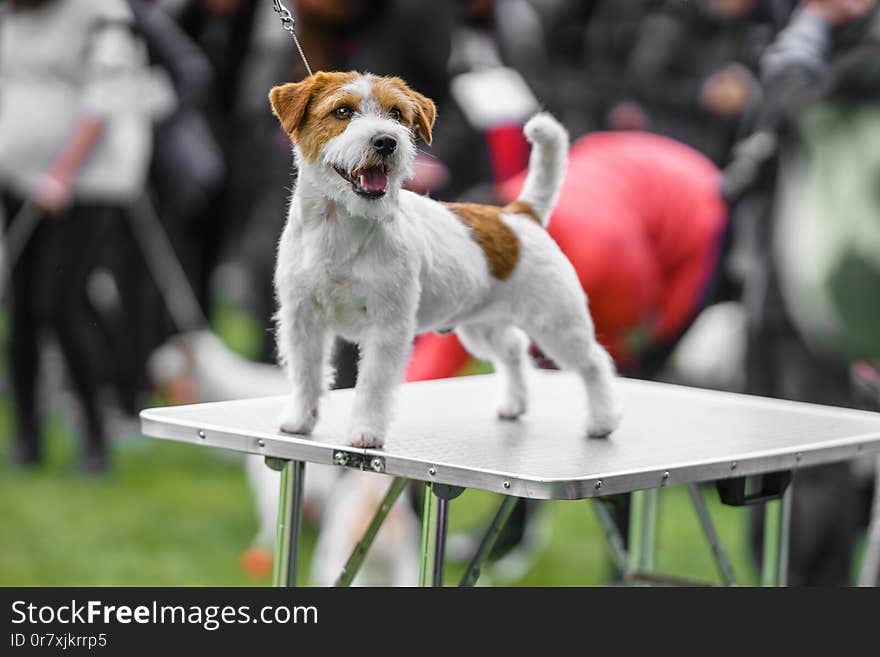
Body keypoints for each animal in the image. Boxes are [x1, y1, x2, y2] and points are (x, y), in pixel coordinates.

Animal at [272, 70, 624, 446]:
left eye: (396, 113)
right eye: (341, 111)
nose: (385, 142)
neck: (341, 229)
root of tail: (519, 214)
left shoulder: (387, 327)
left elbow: (372, 385)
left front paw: (365, 432)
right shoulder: (302, 319)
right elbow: (306, 374)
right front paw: (299, 421)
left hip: (556, 323)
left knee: (593, 362)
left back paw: (602, 421)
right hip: (483, 327)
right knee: (514, 349)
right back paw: (513, 405)